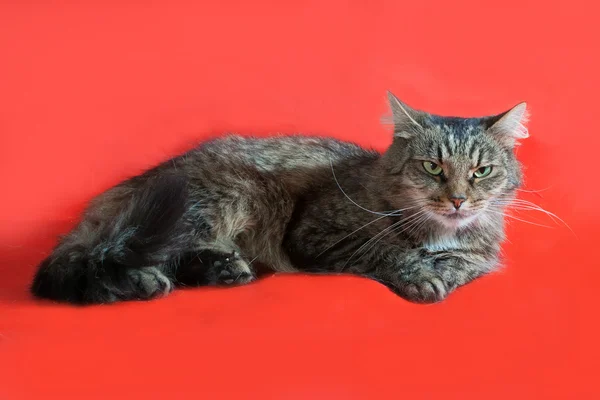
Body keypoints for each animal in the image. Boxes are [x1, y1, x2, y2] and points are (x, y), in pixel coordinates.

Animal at [30, 92, 528, 304]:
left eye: (481, 172)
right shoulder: (317, 234)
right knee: (103, 260)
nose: (458, 200)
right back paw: (152, 280)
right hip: (234, 194)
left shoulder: (481, 255)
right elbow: (390, 250)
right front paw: (421, 275)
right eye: (432, 168)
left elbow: (466, 264)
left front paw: (441, 267)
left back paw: (222, 271)